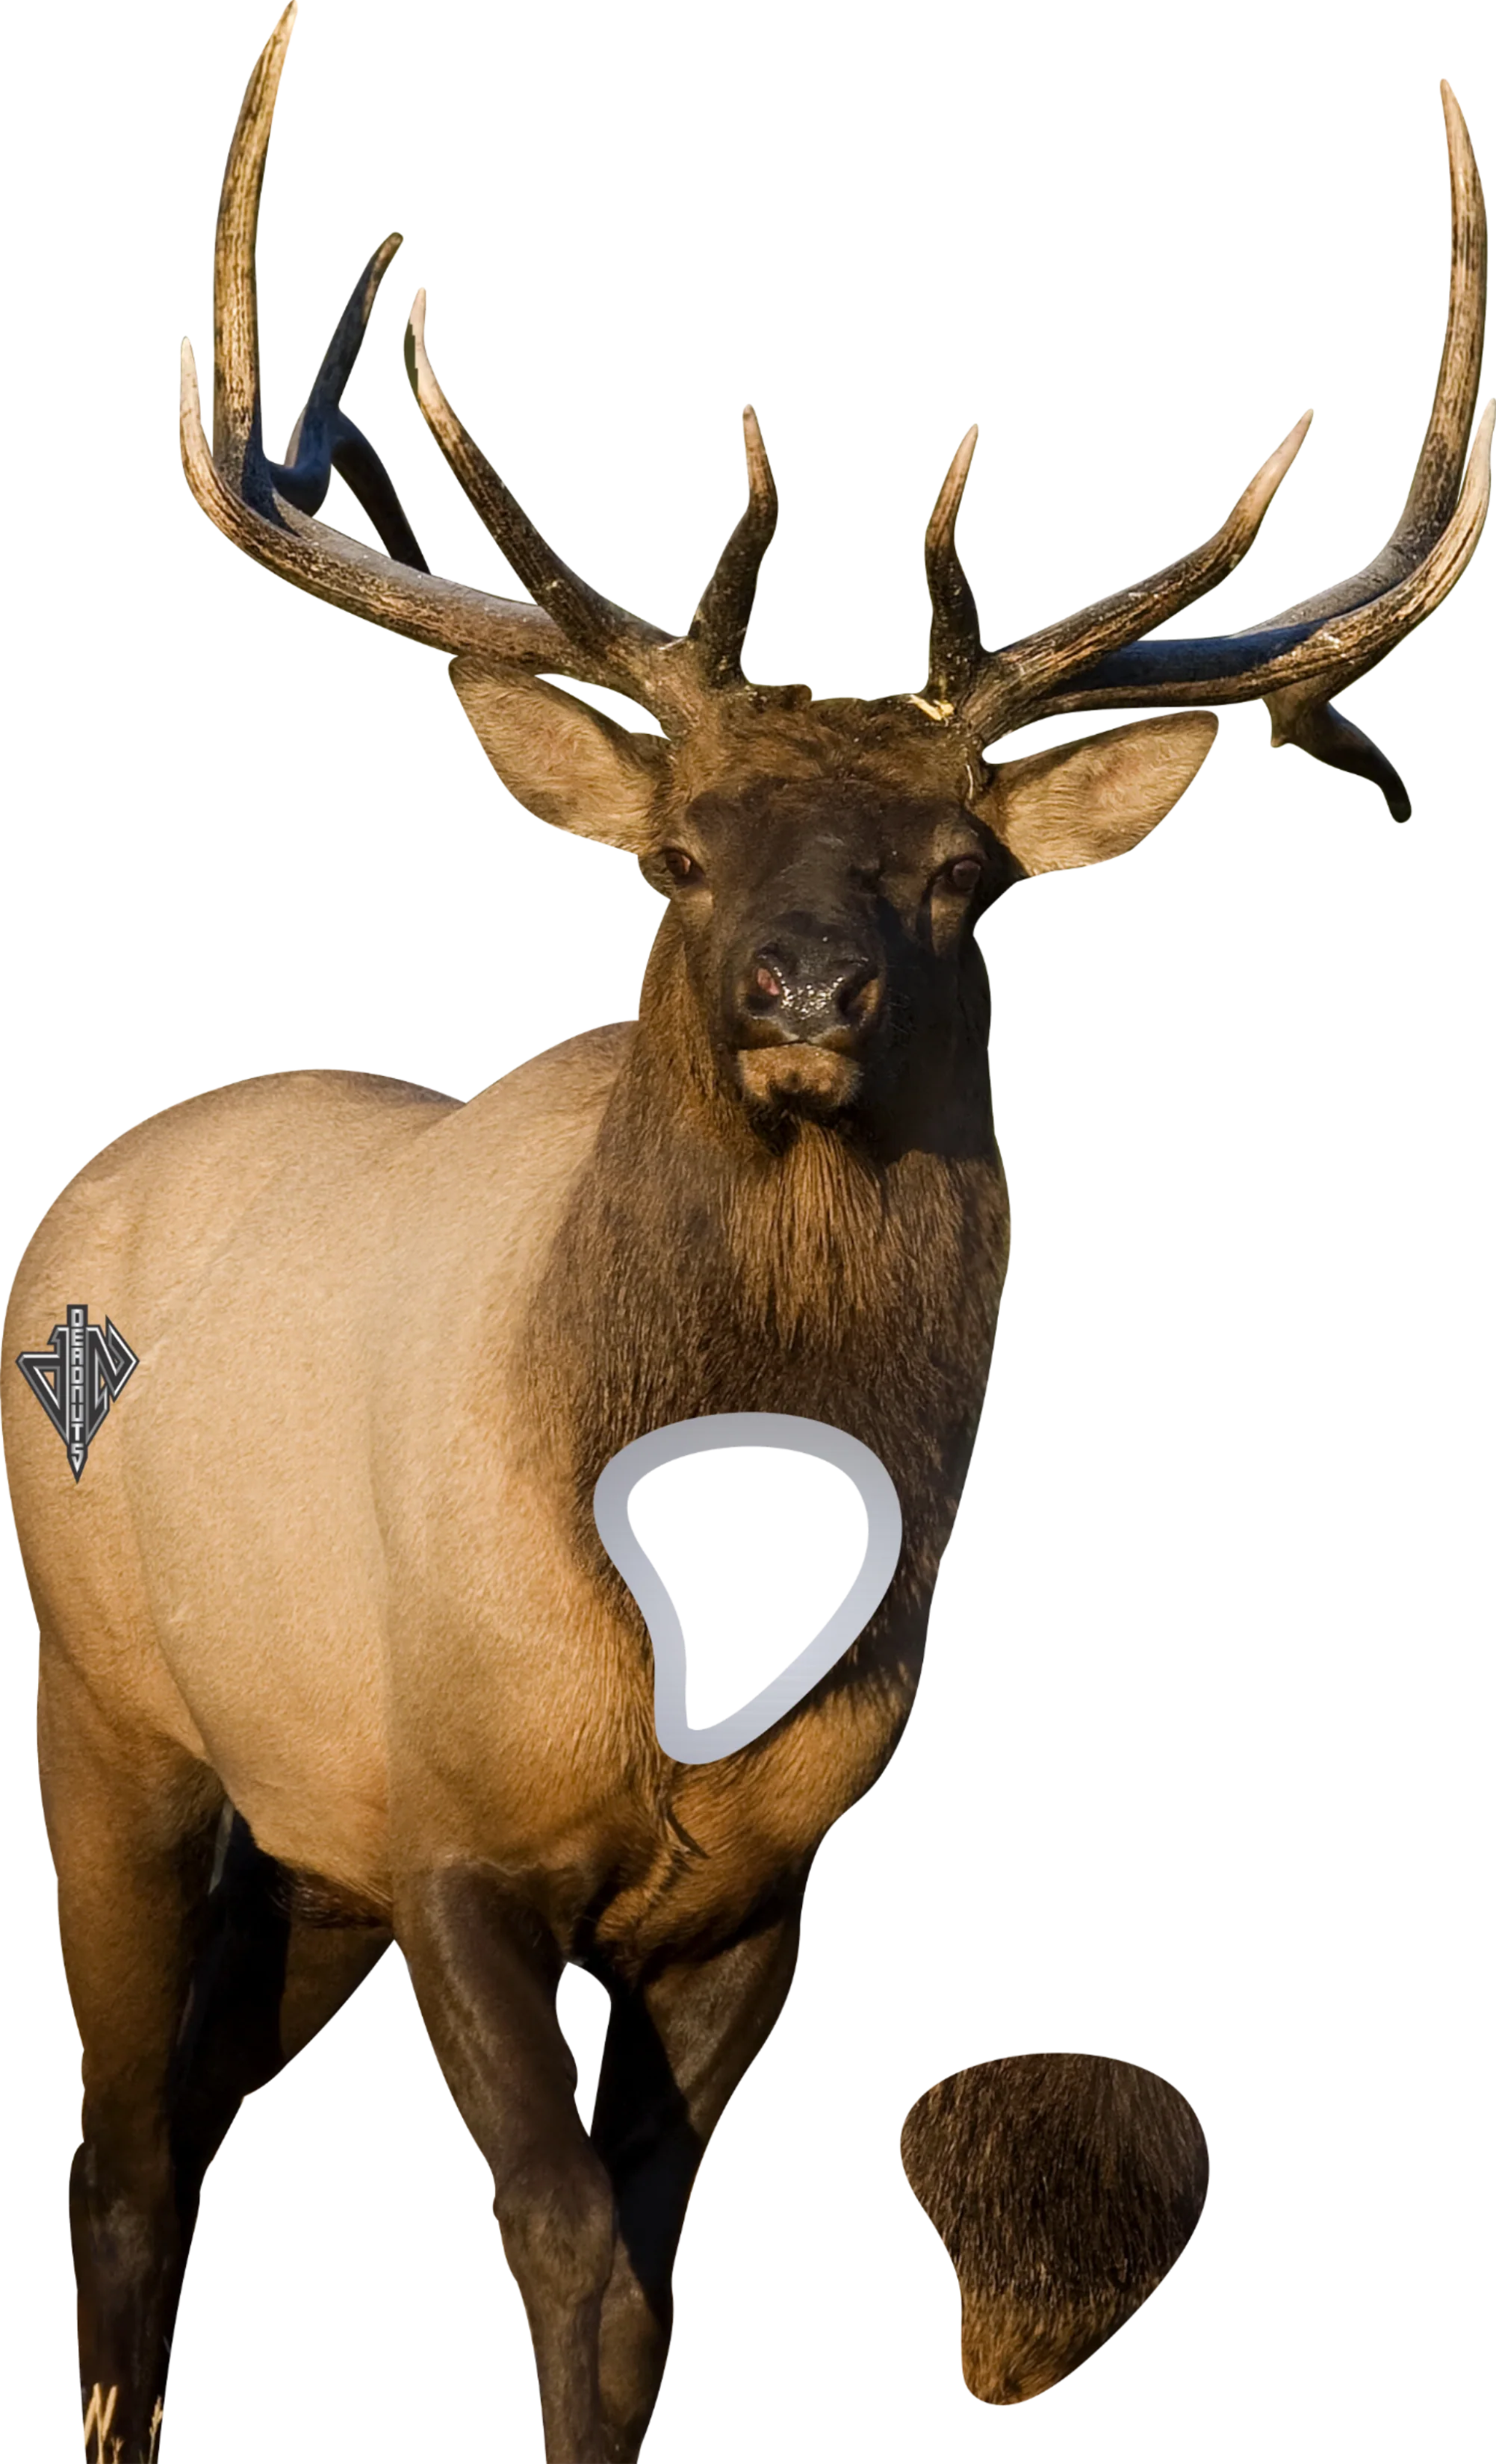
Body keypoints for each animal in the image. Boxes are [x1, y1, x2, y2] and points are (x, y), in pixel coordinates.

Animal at [4, 0, 1486, 2450]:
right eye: (678, 852)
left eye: (962, 875)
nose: (804, 989)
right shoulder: (449, 1829)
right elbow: (568, 2252)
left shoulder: (758, 1887)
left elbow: (646, 2292)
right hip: (112, 1705)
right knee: (120, 2152)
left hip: (298, 1832)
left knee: (193, 2114)